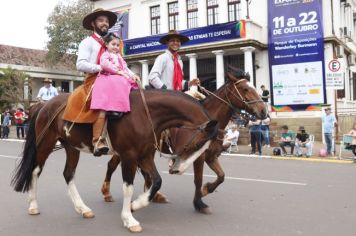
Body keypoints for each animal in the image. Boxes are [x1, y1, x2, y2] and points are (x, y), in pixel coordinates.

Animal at [10, 90, 217, 232]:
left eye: (206, 147)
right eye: (199, 142)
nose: (177, 169)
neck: (145, 114)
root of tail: (43, 105)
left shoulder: (144, 155)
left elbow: (157, 181)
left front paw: (136, 205)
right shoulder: (129, 156)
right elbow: (128, 187)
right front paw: (129, 218)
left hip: (71, 147)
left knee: (68, 174)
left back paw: (82, 208)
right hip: (45, 143)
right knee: (35, 170)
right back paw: (33, 205)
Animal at [100, 69, 268, 213]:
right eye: (245, 89)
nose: (264, 111)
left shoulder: (211, 156)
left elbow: (221, 176)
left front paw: (207, 190)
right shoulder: (198, 156)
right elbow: (198, 179)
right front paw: (199, 202)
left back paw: (152, 195)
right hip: (129, 150)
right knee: (112, 165)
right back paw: (107, 192)